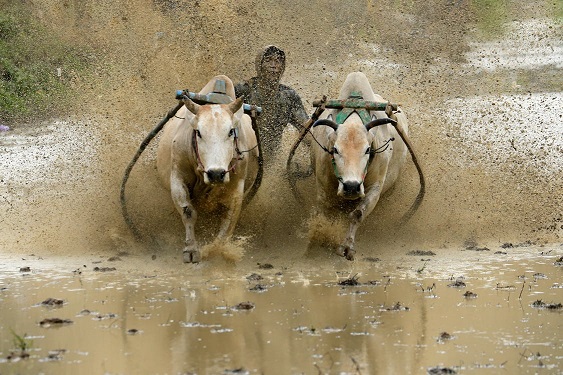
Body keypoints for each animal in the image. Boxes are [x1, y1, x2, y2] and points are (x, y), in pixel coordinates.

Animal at [155, 75, 258, 264]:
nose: (216, 173)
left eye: (231, 131)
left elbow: (229, 219)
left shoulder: (237, 186)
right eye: (199, 132)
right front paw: (190, 249)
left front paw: (216, 250)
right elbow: (188, 212)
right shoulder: (177, 177)